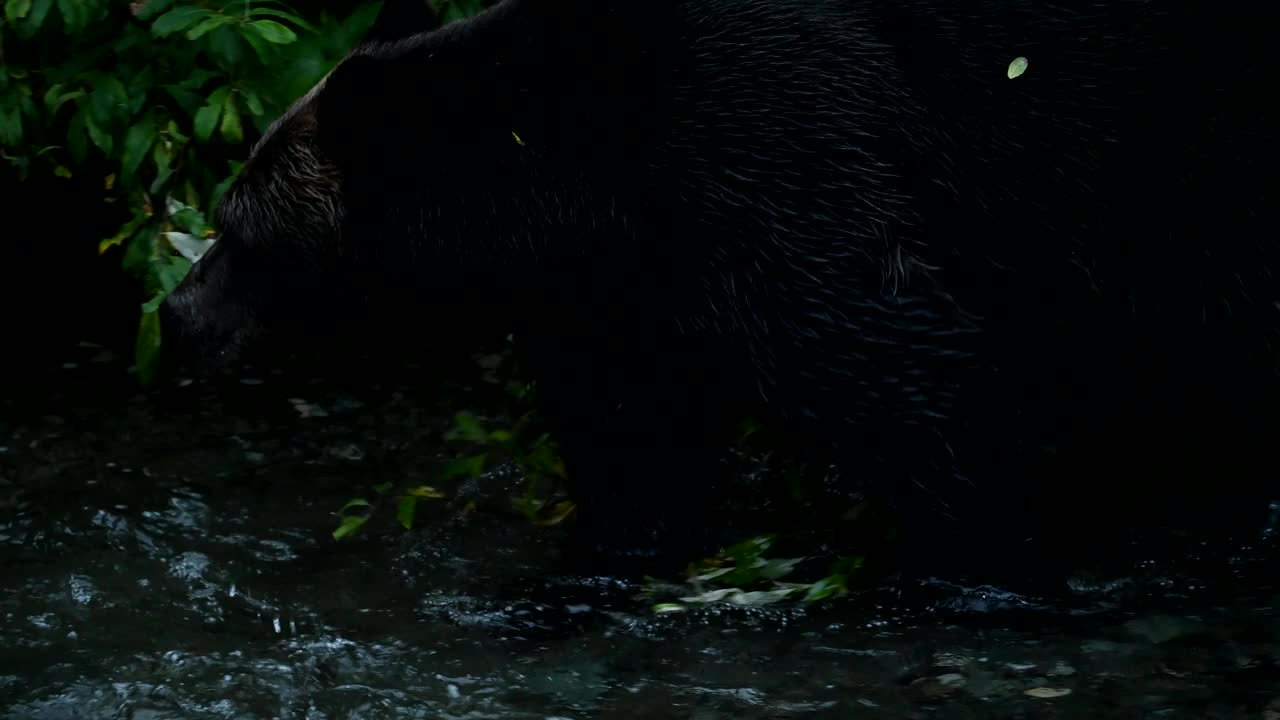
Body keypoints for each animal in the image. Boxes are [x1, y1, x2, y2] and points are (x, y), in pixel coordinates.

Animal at [162, 0, 1280, 584]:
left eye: (237, 225)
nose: (175, 315)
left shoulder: (787, 160)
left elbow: (926, 390)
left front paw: (965, 558)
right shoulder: (623, 290)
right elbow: (629, 442)